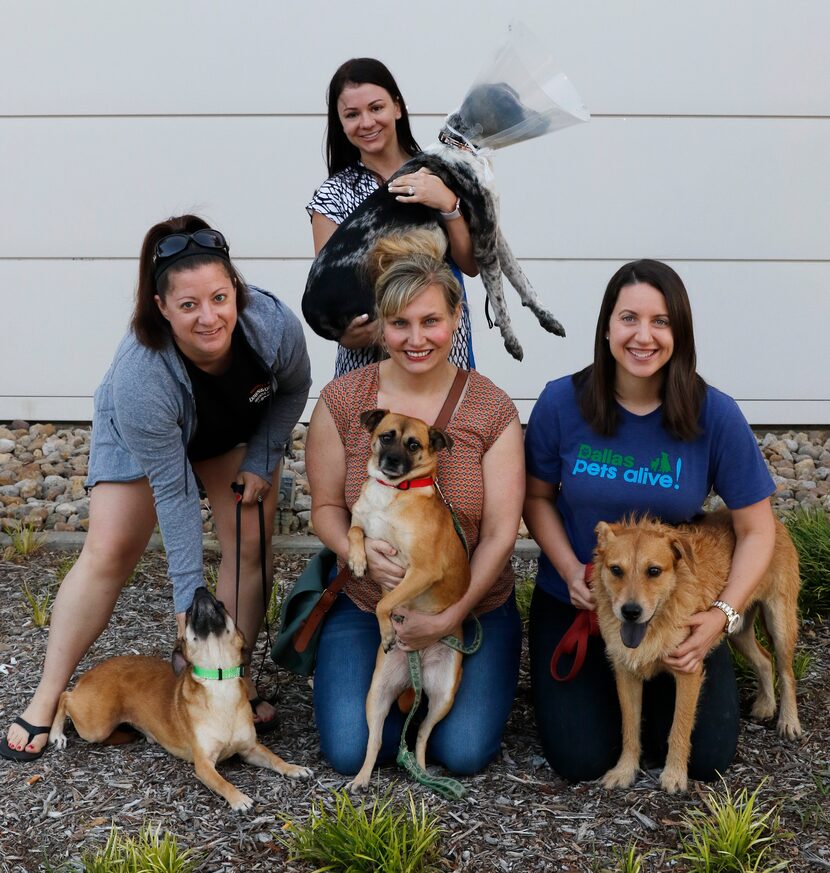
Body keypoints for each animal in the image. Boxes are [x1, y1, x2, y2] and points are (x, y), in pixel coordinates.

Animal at [51, 584, 312, 812]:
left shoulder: (251, 749)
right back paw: (56, 734)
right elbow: (223, 783)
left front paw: (293, 768)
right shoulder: (204, 765)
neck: (219, 679)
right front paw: (239, 798)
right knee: (64, 696)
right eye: (188, 613)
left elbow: (275, 758)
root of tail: (90, 673)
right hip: (96, 725)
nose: (200, 591)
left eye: (221, 604)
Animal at [346, 408, 472, 792]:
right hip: (376, 695)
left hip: (444, 697)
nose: (390, 461)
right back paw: (361, 778)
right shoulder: (363, 524)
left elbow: (383, 604)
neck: (392, 492)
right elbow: (354, 529)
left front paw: (387, 628)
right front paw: (357, 560)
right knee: (374, 741)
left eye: (413, 444)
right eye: (386, 436)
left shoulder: (421, 570)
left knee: (421, 738)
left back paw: (424, 773)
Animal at [596, 508, 804, 792]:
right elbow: (629, 728)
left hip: (779, 622)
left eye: (654, 571)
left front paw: (674, 775)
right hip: (737, 630)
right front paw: (625, 770)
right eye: (616, 570)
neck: (657, 621)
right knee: (764, 659)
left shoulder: (689, 671)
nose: (630, 612)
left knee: (786, 673)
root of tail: (774, 521)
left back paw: (789, 721)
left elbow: (679, 727)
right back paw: (765, 704)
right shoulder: (626, 674)